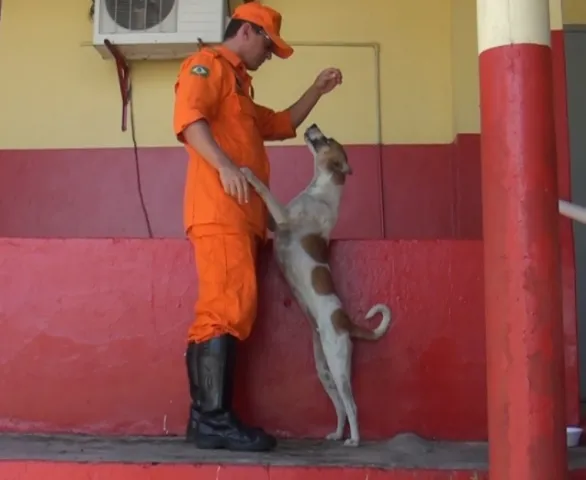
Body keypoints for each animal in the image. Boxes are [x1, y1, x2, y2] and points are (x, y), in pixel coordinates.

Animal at [237, 124, 392, 446]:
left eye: (328, 140)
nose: (312, 126)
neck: (322, 190)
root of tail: (346, 322)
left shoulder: (283, 215)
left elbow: (265, 191)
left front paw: (248, 174)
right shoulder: (276, 221)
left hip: (338, 363)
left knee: (352, 405)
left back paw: (354, 440)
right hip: (324, 371)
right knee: (340, 407)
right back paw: (337, 433)